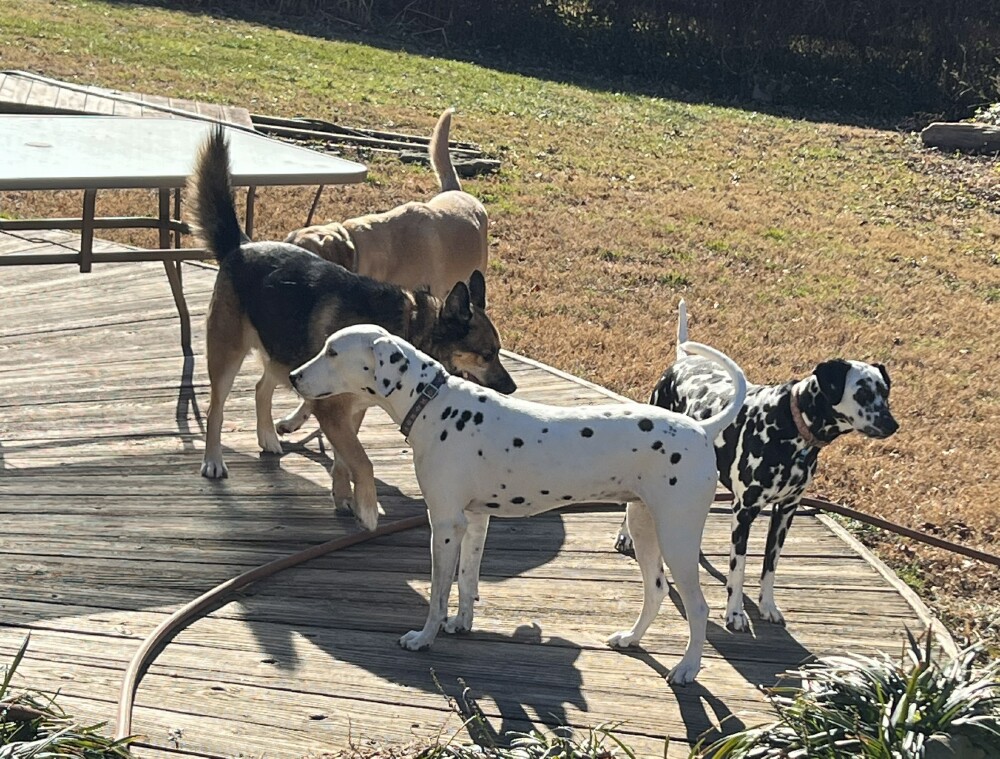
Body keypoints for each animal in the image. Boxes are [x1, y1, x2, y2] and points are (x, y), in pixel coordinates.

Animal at [290, 324, 748, 684]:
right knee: (655, 591)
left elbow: (438, 592)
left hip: (677, 537)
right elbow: (467, 581)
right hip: (643, 526)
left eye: (333, 352)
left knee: (699, 607)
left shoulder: (445, 526)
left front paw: (425, 638)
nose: (293, 377)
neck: (436, 405)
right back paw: (631, 638)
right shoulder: (474, 522)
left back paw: (687, 669)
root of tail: (703, 429)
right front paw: (462, 624)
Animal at [615, 301, 898, 632]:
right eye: (863, 392)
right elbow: (738, 570)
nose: (892, 424)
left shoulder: (785, 512)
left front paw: (768, 606)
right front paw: (735, 613)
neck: (789, 424)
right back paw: (625, 536)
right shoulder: (744, 512)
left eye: (885, 392)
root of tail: (683, 361)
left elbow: (769, 566)